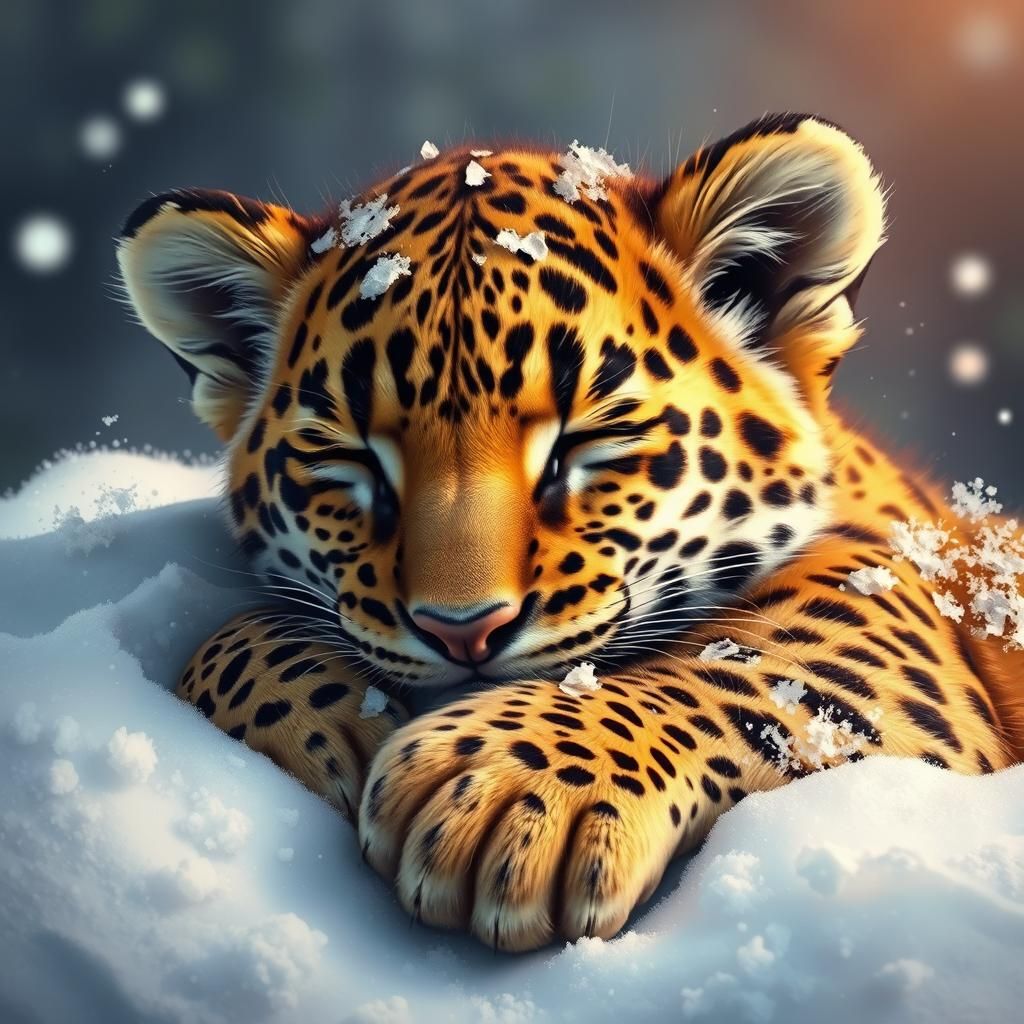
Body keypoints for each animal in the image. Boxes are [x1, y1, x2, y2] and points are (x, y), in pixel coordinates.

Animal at [116, 113, 1024, 952]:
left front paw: (508, 792)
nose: (463, 632)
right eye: (350, 459)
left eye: (585, 441)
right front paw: (322, 714)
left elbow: (756, 666)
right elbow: (220, 645)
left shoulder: (899, 627)